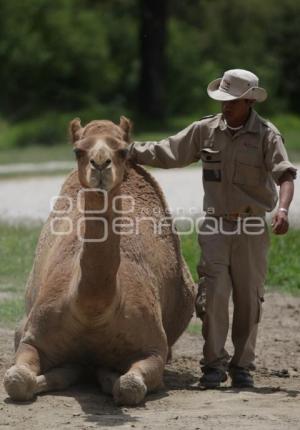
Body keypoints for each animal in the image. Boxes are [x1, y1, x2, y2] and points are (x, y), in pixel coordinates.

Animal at [4, 116, 197, 404]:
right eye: (78, 150)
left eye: (123, 150)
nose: (100, 164)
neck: (92, 312)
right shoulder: (33, 337)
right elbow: (17, 379)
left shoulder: (154, 349)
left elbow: (129, 386)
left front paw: (108, 374)